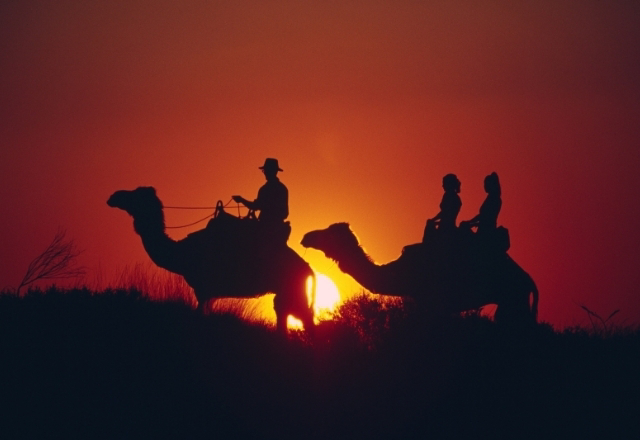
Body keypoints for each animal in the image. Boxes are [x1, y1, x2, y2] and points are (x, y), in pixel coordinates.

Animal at [107, 186, 316, 334]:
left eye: (136, 195)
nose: (114, 196)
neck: (182, 253)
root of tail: (309, 270)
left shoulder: (203, 288)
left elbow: (200, 317)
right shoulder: (208, 293)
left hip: (291, 287)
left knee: (302, 315)